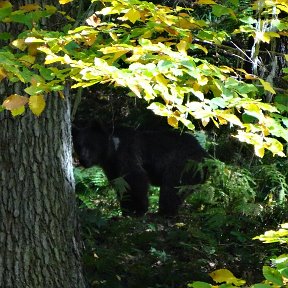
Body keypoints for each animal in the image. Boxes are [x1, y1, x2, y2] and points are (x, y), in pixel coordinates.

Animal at [72, 121, 209, 216]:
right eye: (78, 145)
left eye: (90, 144)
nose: (83, 160)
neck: (112, 151)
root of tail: (204, 153)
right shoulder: (112, 168)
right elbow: (121, 186)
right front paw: (126, 209)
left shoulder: (128, 154)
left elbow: (137, 178)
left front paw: (139, 209)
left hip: (184, 163)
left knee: (171, 186)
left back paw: (163, 212)